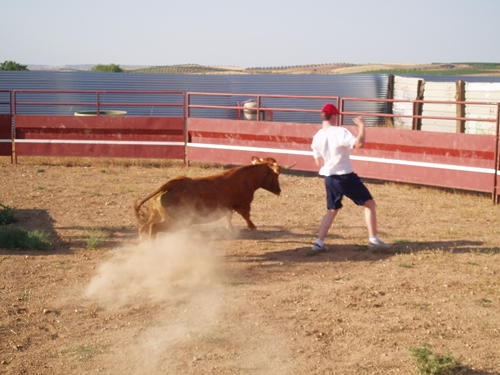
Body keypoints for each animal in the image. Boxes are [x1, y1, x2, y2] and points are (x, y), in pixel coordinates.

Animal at [135, 157, 294, 239]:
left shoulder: (228, 207)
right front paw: (252, 227)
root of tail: (170, 185)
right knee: (153, 228)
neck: (246, 178)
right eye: (277, 174)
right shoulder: (243, 204)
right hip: (175, 221)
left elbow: (229, 216)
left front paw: (231, 228)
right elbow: (246, 216)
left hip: (156, 215)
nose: (279, 190)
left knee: (143, 228)